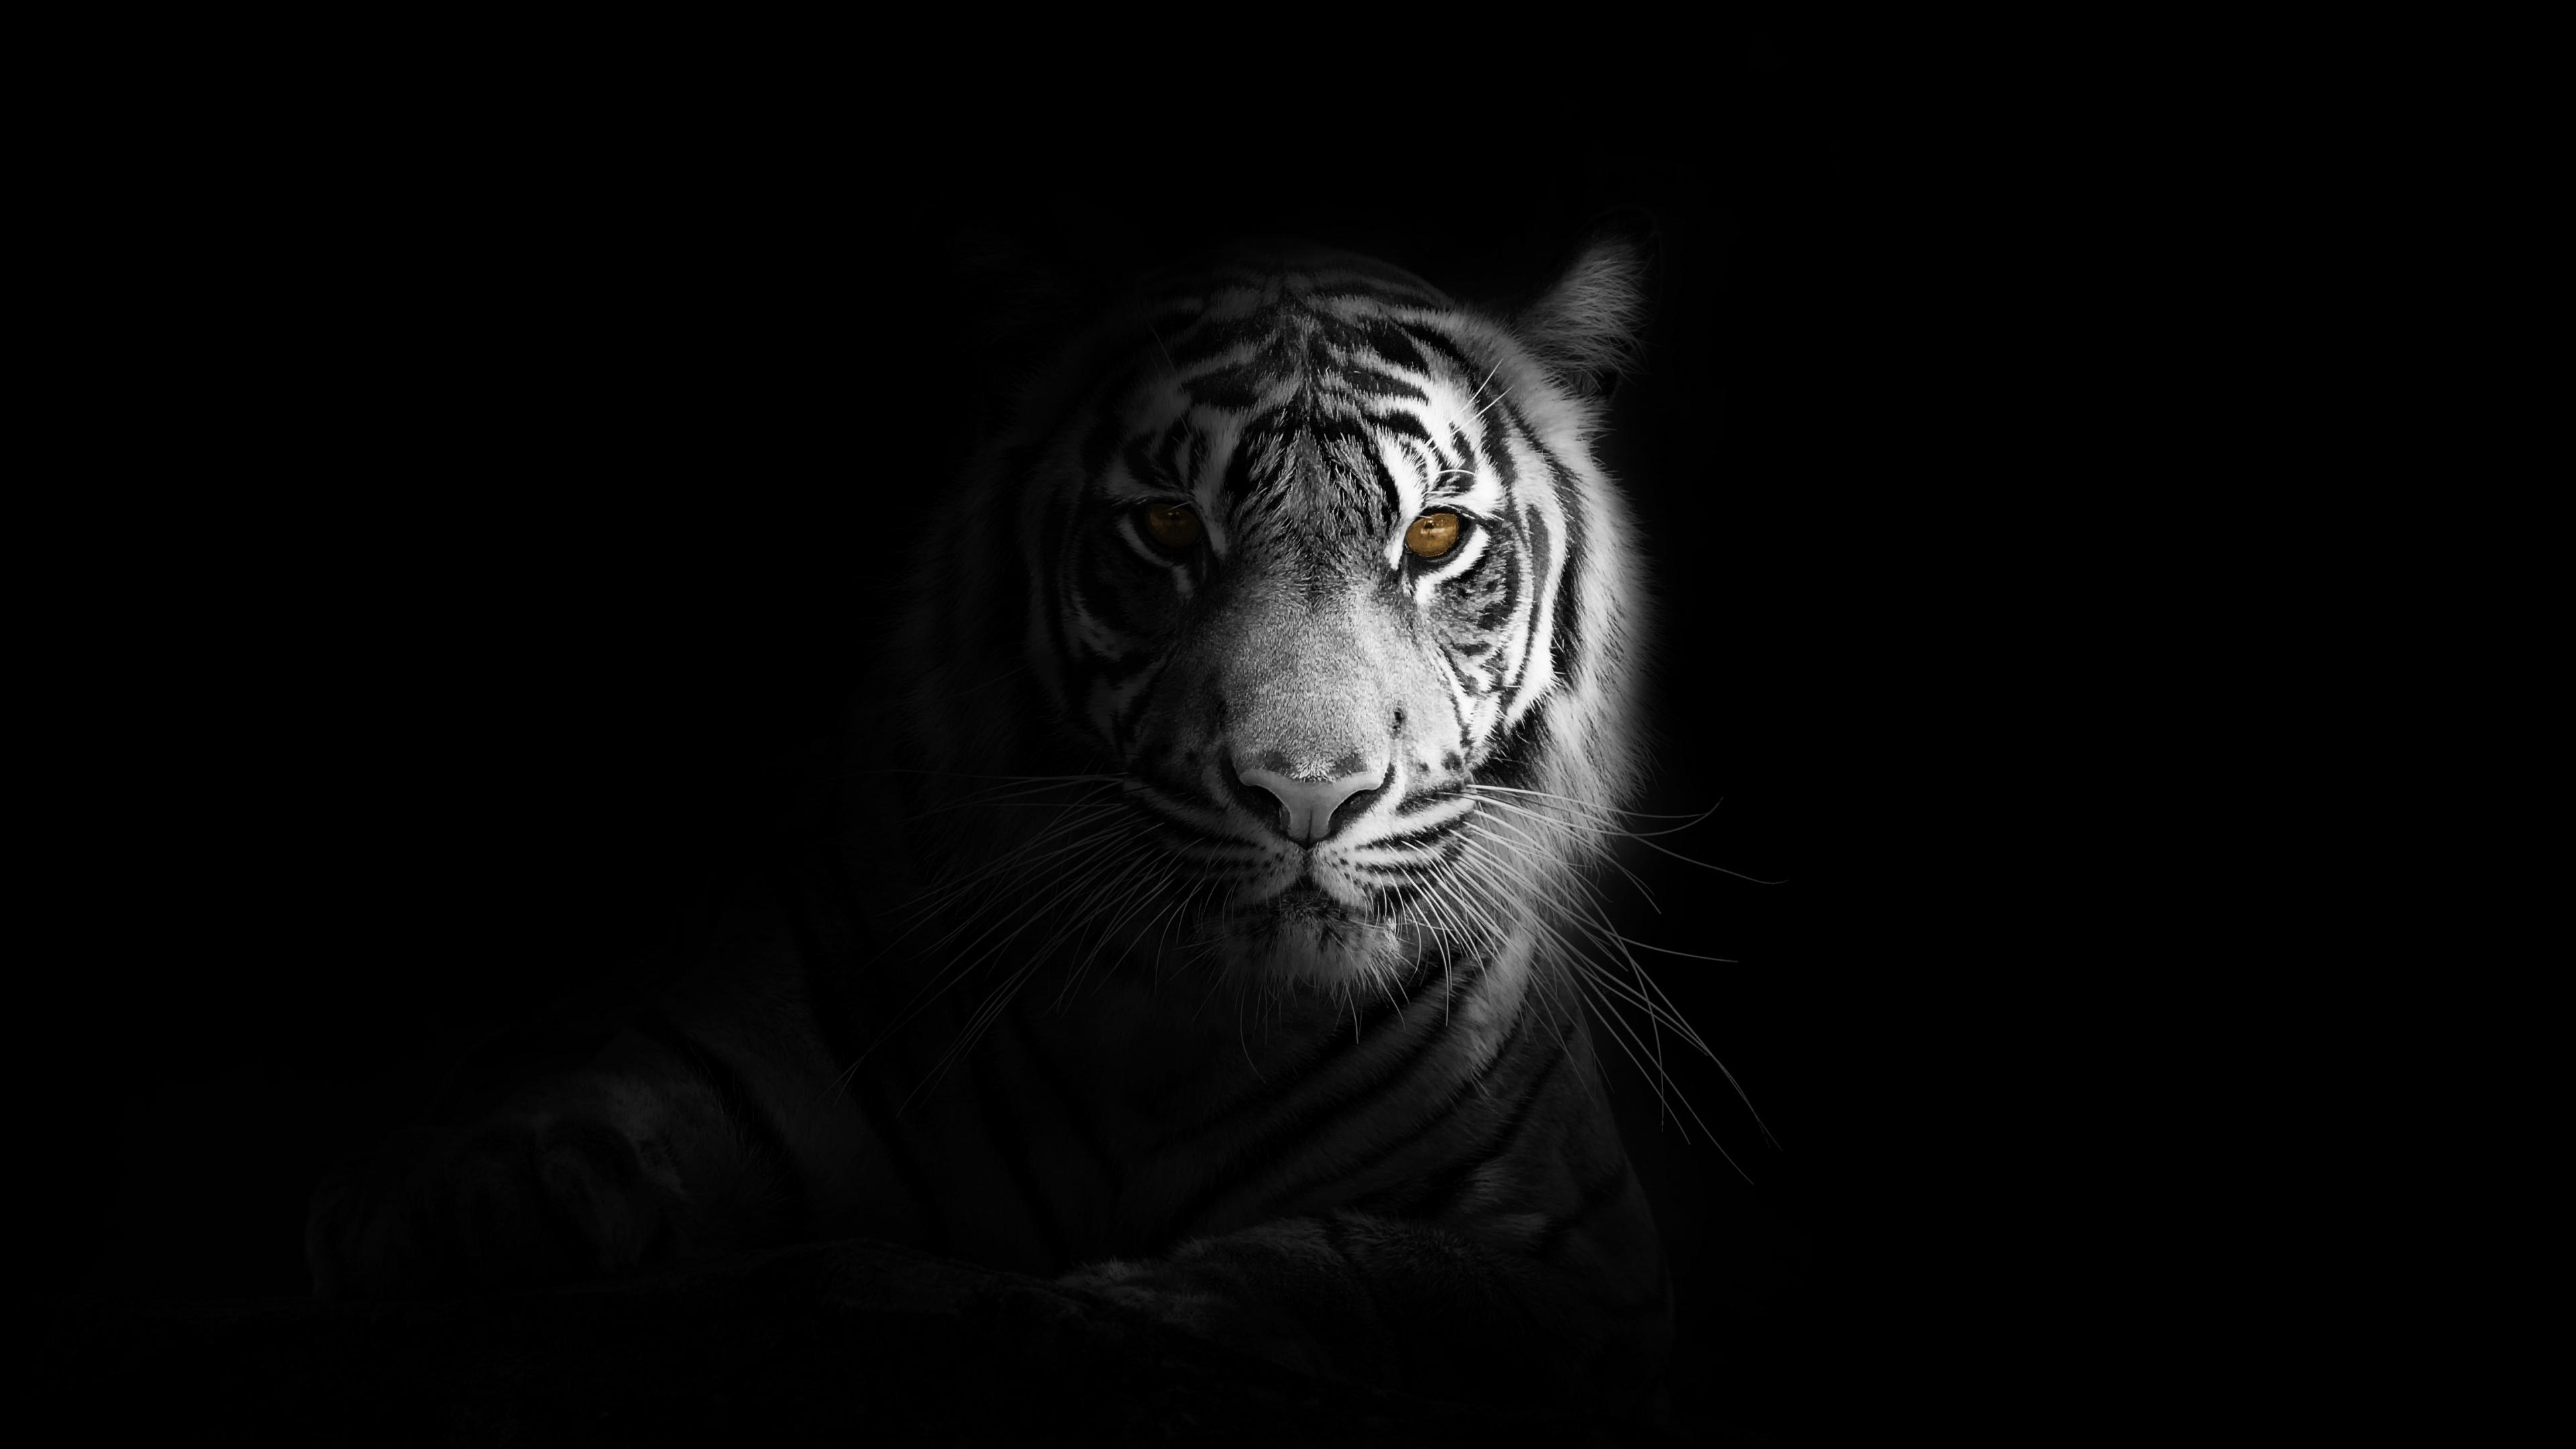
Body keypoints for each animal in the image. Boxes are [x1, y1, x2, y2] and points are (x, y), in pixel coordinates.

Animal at [308, 228, 1691, 1417]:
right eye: (1169, 526)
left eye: (1436, 536)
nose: (1307, 790)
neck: (1176, 1030)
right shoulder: (722, 1045)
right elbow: (546, 1143)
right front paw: (457, 1225)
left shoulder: (1591, 1268)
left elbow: (1361, 1269)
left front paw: (1117, 1305)